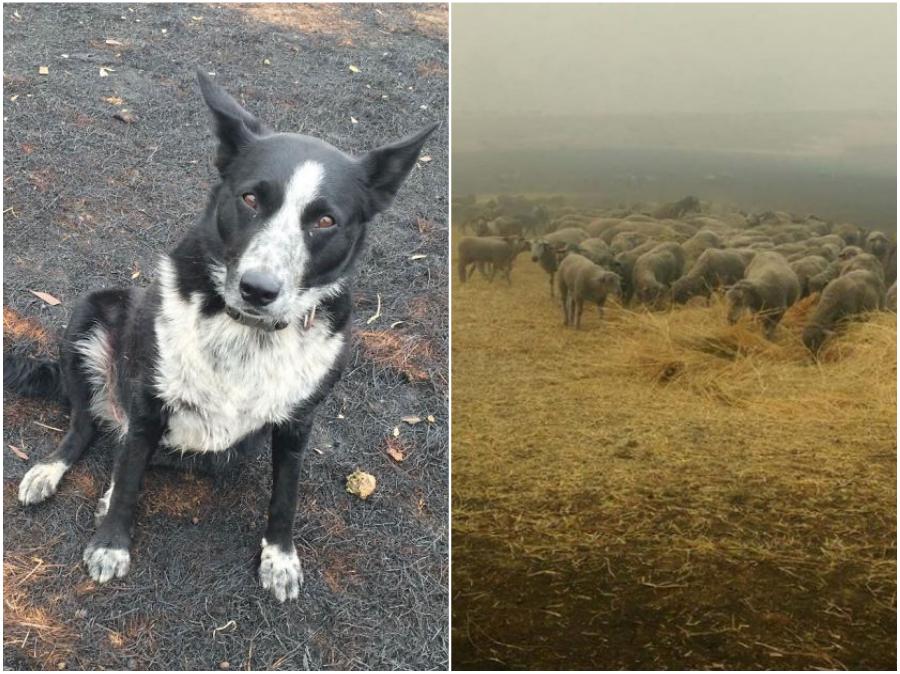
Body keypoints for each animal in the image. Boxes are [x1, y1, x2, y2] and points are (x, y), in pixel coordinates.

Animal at [7, 72, 436, 600]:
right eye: (251, 198)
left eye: (325, 221)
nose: (258, 289)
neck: (247, 333)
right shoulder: (149, 402)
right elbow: (129, 479)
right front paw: (111, 544)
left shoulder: (297, 424)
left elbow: (285, 496)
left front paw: (280, 557)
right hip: (90, 313)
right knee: (87, 427)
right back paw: (50, 471)